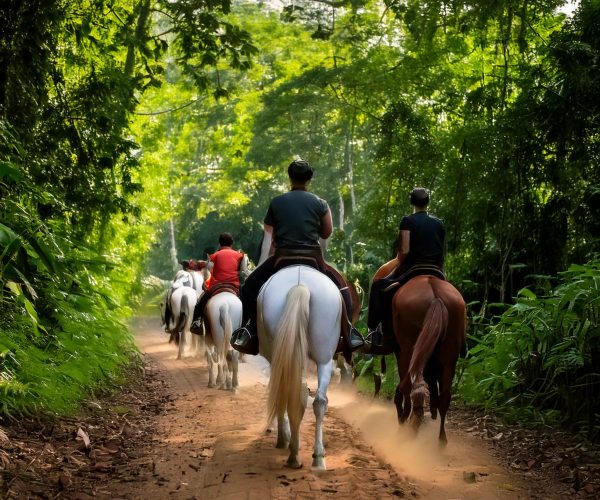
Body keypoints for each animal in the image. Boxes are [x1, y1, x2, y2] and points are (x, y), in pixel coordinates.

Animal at [258, 266, 342, 468]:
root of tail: (300, 284)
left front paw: (283, 438)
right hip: (324, 355)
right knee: (317, 400)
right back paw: (316, 456)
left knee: (293, 394)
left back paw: (293, 452)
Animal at [372, 258, 466, 446]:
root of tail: (435, 295)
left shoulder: (401, 351)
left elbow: (404, 385)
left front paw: (403, 415)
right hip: (449, 355)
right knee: (445, 395)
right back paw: (441, 440)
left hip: (408, 350)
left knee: (410, 386)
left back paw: (407, 426)